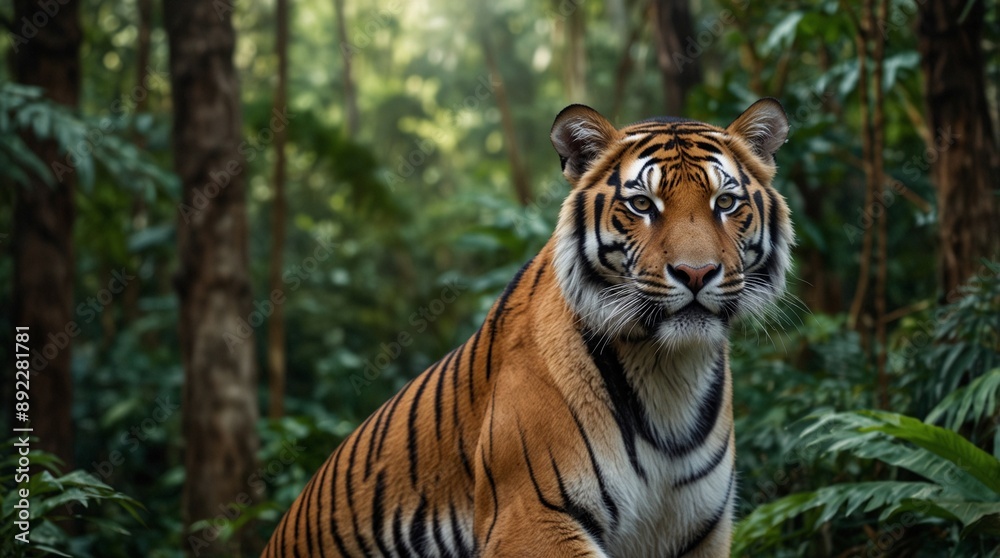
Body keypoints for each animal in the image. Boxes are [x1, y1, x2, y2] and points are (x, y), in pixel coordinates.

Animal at [262, 98, 793, 558]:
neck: (669, 369)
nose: (696, 273)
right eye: (642, 205)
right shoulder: (531, 517)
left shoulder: (698, 531)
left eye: (725, 202)